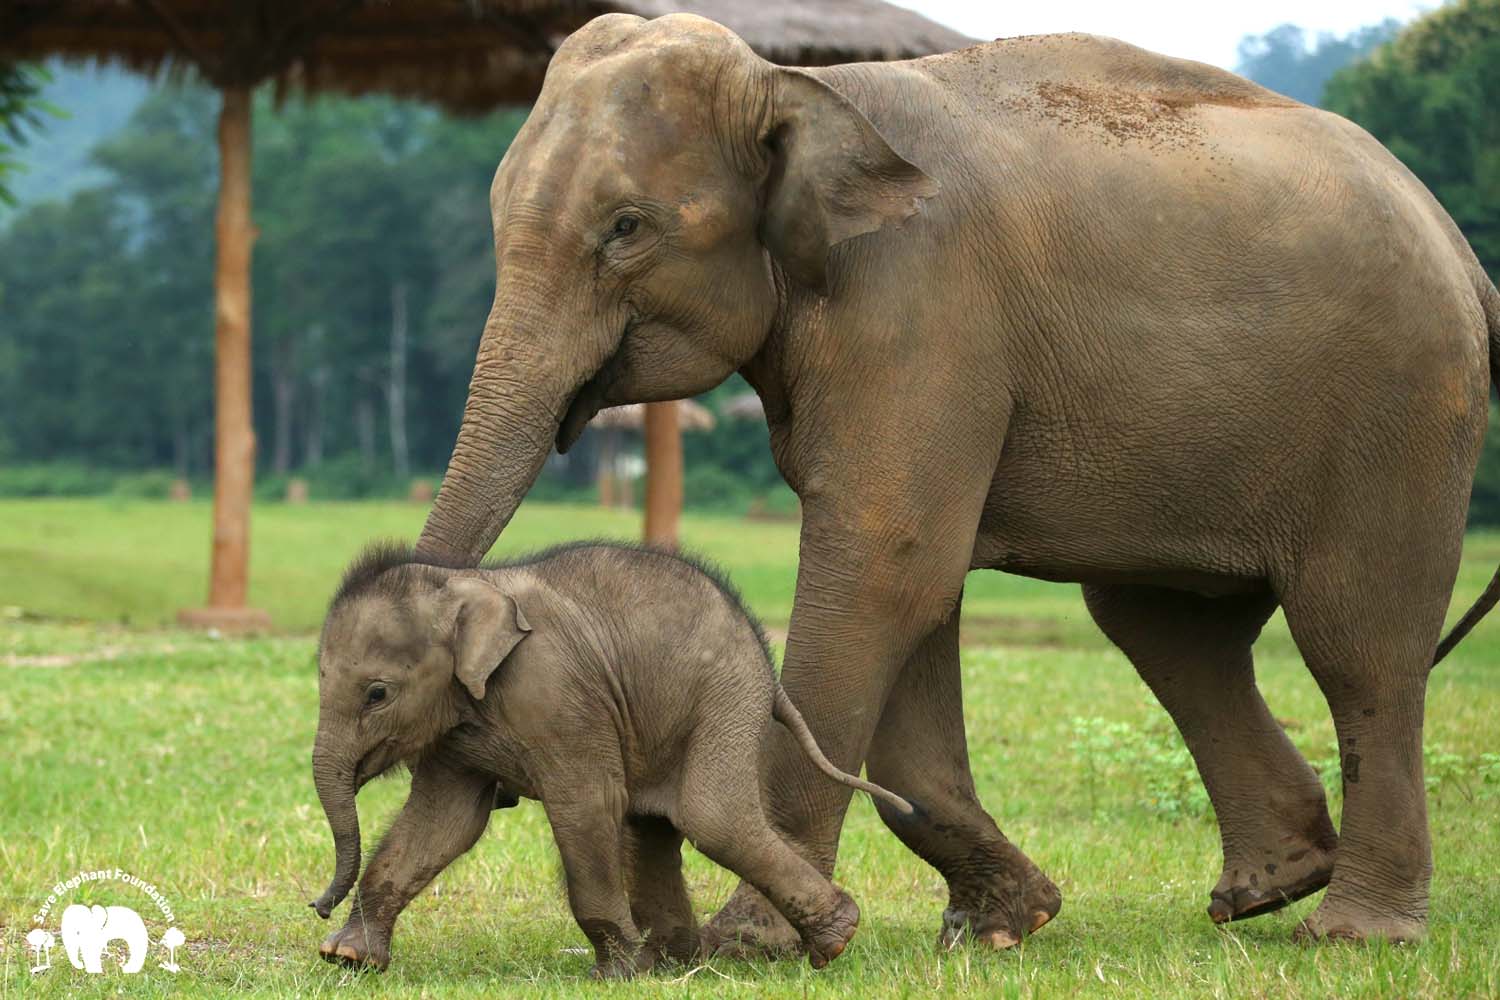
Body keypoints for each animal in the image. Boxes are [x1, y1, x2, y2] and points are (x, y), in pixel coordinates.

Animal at [310, 539, 906, 977]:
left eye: (377, 694)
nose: (317, 905)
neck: (461, 582)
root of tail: (764, 659)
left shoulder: (556, 693)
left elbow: (586, 806)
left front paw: (614, 974)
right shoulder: (457, 727)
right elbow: (443, 823)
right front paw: (347, 958)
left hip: (725, 699)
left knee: (710, 817)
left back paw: (835, 939)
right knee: (653, 824)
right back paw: (673, 963)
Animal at [417, 11, 1500, 947]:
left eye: (626, 227)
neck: (803, 89)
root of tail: (1459, 246)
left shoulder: (917, 303)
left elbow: (886, 562)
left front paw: (753, 944)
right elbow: (916, 588)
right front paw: (1004, 922)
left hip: (1400, 408)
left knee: (1357, 643)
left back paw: (1352, 931)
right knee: (1166, 629)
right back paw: (1269, 886)